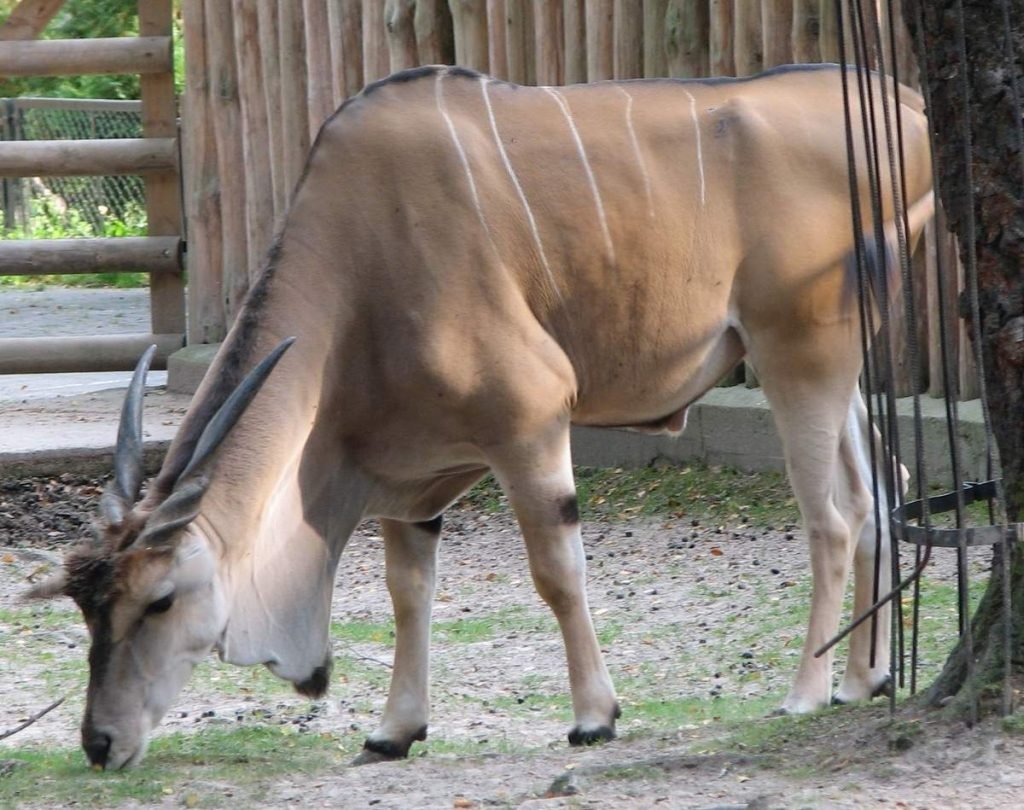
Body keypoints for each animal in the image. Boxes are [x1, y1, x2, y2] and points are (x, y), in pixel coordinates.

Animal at [28, 61, 933, 765]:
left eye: (160, 600)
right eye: (85, 608)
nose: (99, 744)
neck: (356, 256)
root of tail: (910, 110)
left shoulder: (530, 418)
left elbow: (557, 571)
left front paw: (594, 717)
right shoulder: (404, 469)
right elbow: (408, 590)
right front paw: (395, 729)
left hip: (798, 354)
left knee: (833, 516)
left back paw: (807, 692)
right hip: (842, 368)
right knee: (883, 489)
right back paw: (864, 678)